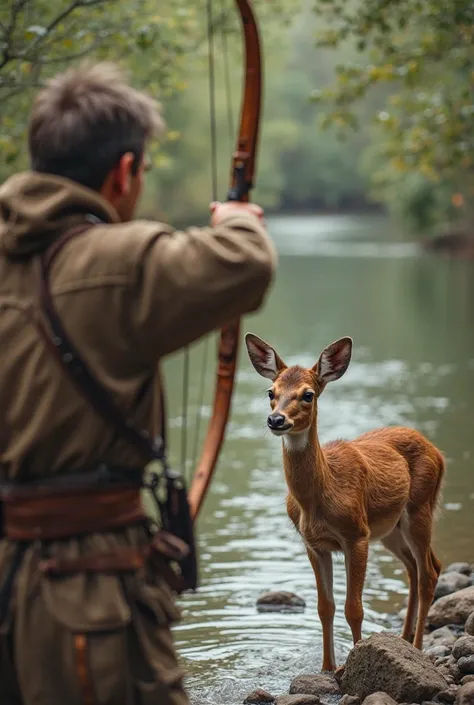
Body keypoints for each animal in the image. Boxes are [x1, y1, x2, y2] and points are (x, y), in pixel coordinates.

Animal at [244, 332, 444, 672]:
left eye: (308, 394)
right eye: (271, 392)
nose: (276, 419)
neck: (320, 497)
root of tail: (438, 452)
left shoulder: (356, 535)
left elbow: (354, 608)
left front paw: (353, 661)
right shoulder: (313, 544)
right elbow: (325, 607)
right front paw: (327, 667)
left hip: (420, 508)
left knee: (428, 574)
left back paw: (417, 647)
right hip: (390, 529)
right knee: (417, 569)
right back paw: (404, 639)